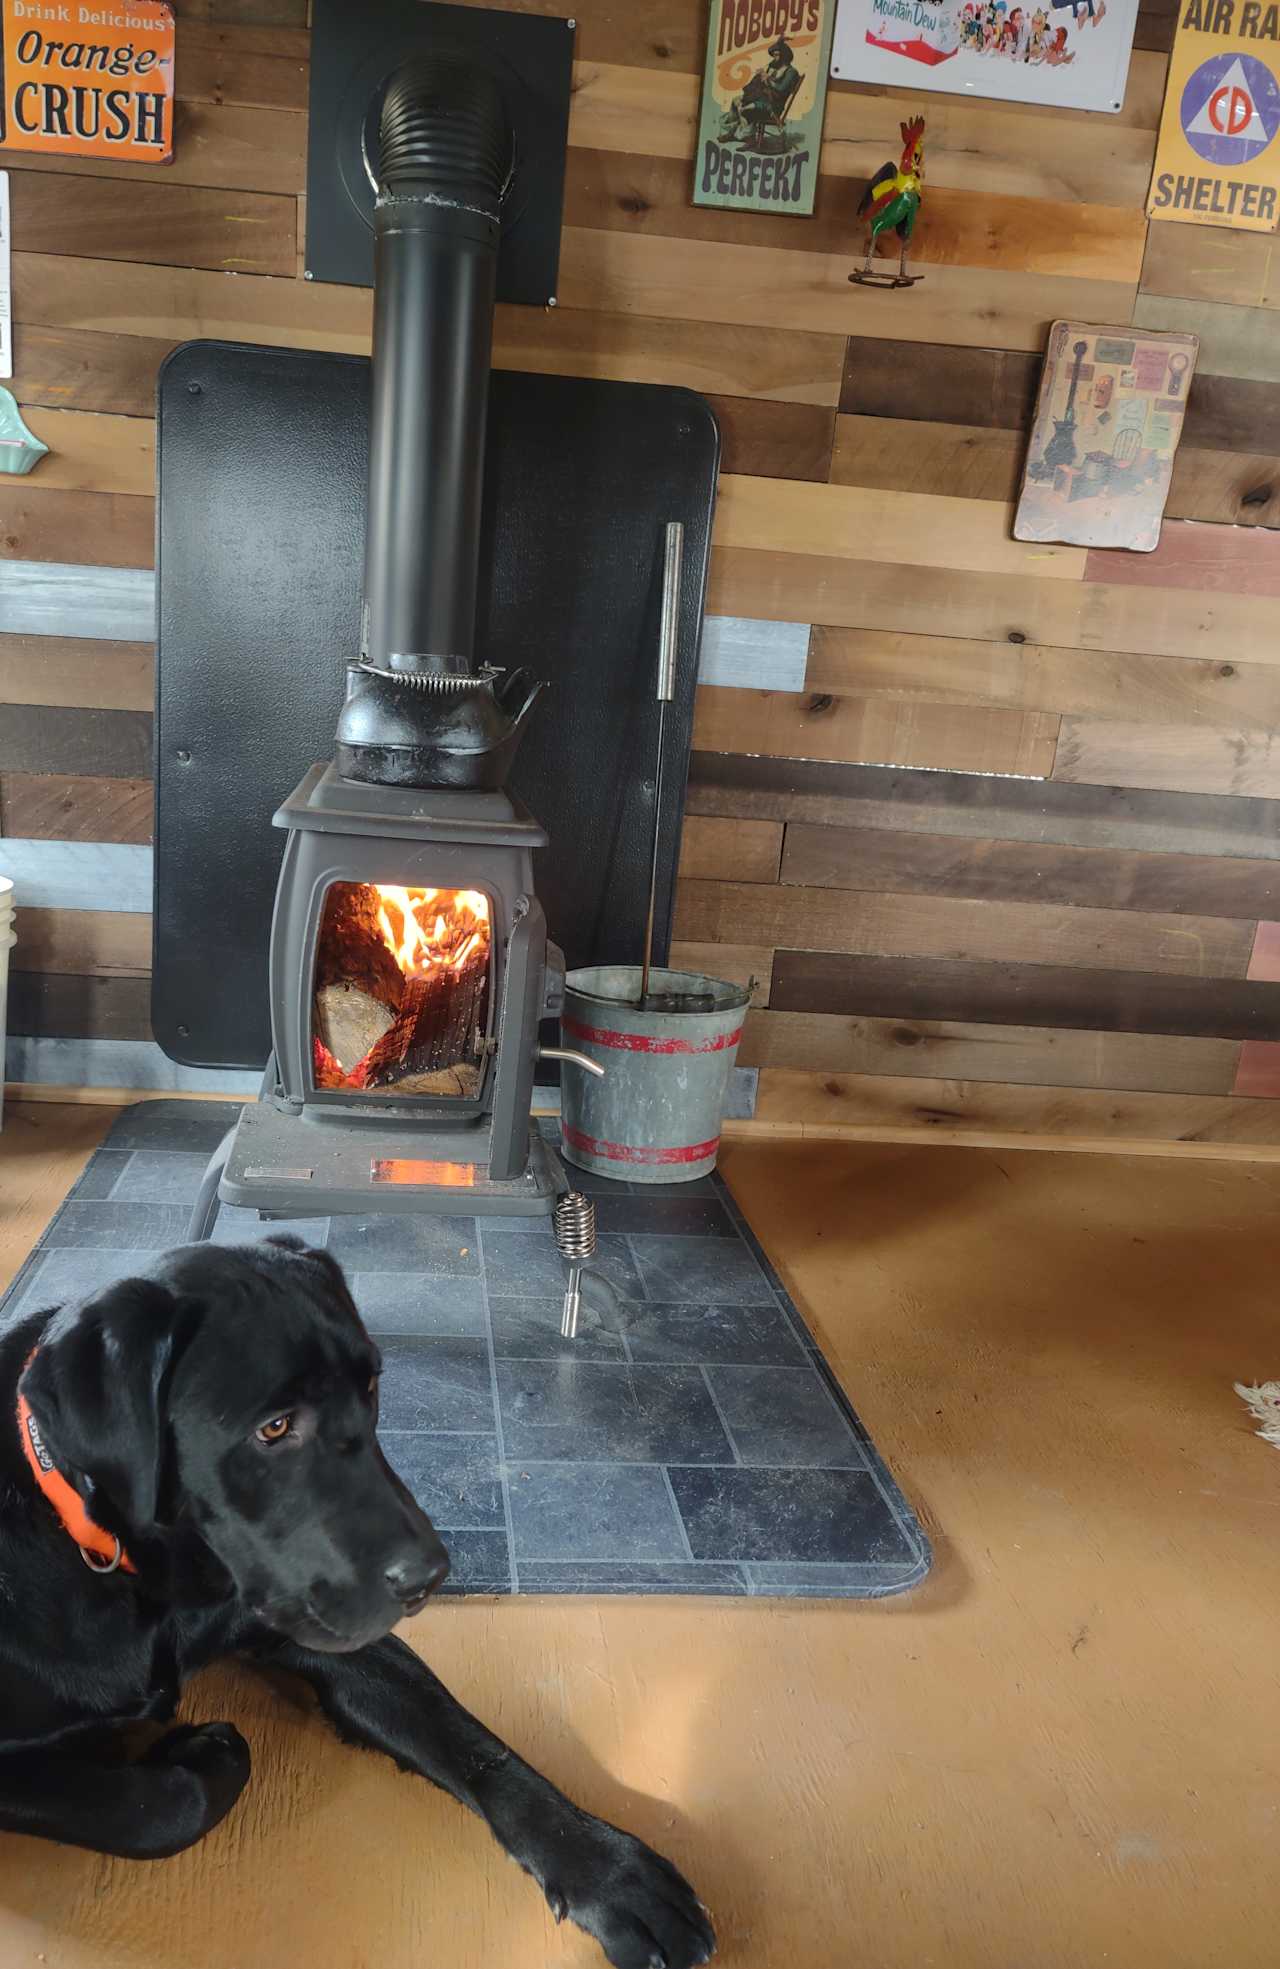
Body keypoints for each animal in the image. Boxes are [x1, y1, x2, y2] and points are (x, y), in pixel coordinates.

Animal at [0, 1236, 712, 1961]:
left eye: (371, 1386)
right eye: (274, 1427)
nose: (431, 1574)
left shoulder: (329, 1630)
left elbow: (472, 1740)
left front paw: (606, 1869)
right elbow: (152, 1808)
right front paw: (205, 1754)